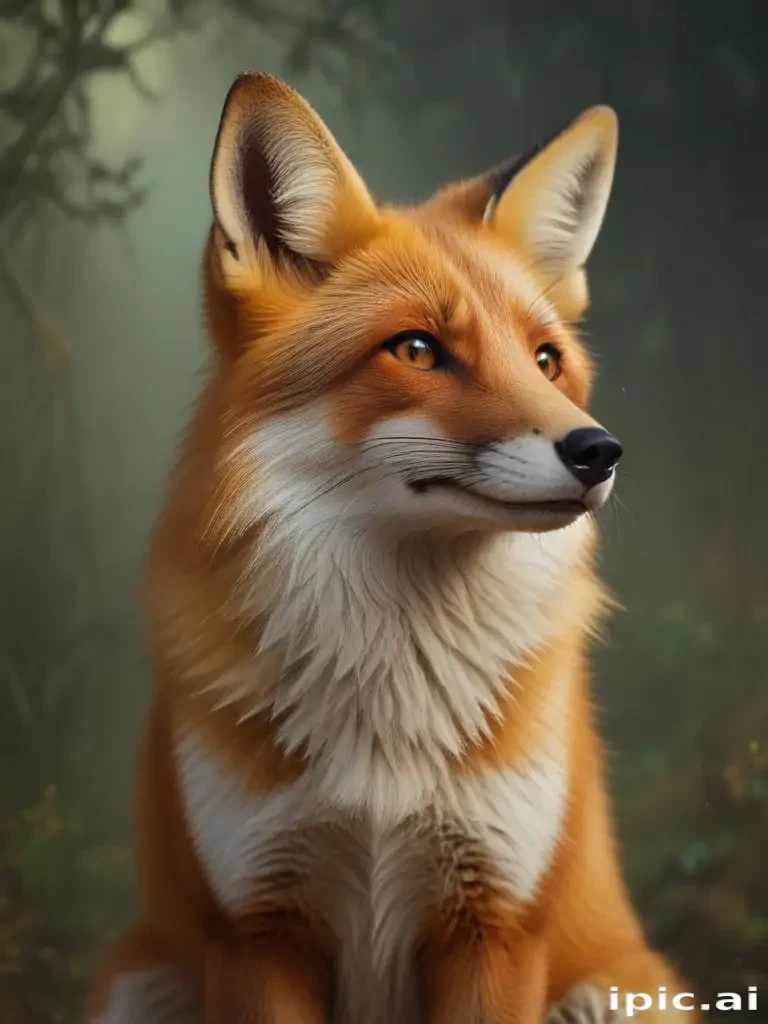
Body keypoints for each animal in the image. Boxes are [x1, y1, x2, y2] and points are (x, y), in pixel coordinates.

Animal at [89, 71, 696, 1023]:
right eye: (416, 349)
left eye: (546, 361)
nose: (599, 451)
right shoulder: (255, 930)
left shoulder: (497, 925)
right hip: (138, 981)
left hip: (622, 987)